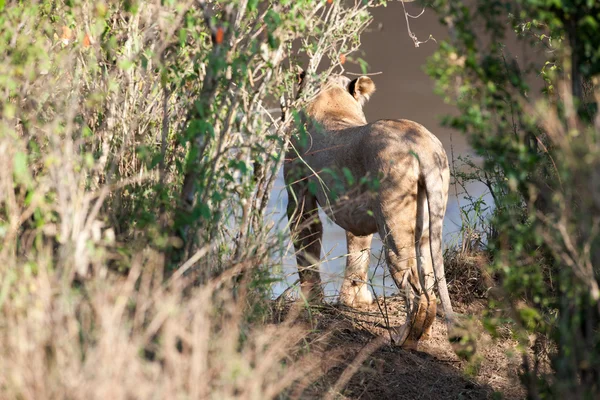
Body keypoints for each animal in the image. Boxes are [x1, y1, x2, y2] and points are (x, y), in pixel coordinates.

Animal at [284, 74, 454, 346]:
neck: (331, 99)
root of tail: (423, 145)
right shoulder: (357, 210)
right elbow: (358, 253)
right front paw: (355, 301)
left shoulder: (299, 194)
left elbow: (307, 247)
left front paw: (312, 302)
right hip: (427, 223)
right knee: (430, 285)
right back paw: (424, 335)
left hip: (393, 224)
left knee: (415, 289)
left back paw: (403, 339)